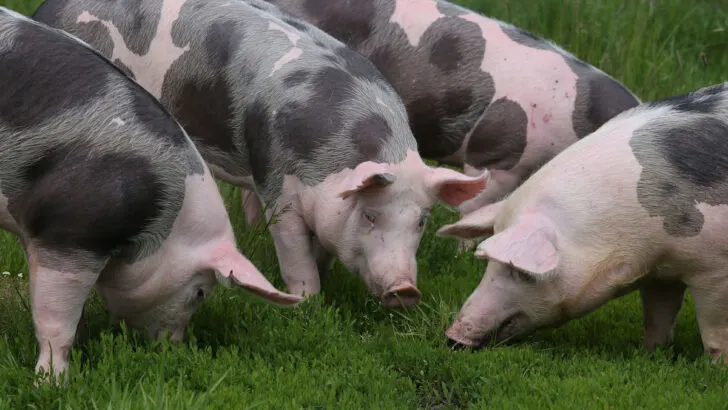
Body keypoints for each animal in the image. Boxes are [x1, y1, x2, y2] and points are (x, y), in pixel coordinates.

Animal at [0, 7, 302, 381]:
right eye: (200, 292)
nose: (172, 347)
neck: (167, 220)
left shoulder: (38, 230)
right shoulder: (72, 231)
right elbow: (56, 321)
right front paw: (54, 382)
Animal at [32, 0, 487, 307]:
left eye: (421, 221)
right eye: (371, 215)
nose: (405, 289)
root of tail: (48, 10)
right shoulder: (277, 184)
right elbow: (294, 253)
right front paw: (309, 303)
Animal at [436, 82, 728, 363]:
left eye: (521, 272)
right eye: (489, 266)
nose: (452, 336)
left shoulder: (712, 269)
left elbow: (714, 331)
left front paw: (715, 368)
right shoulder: (661, 272)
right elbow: (658, 319)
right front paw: (652, 355)